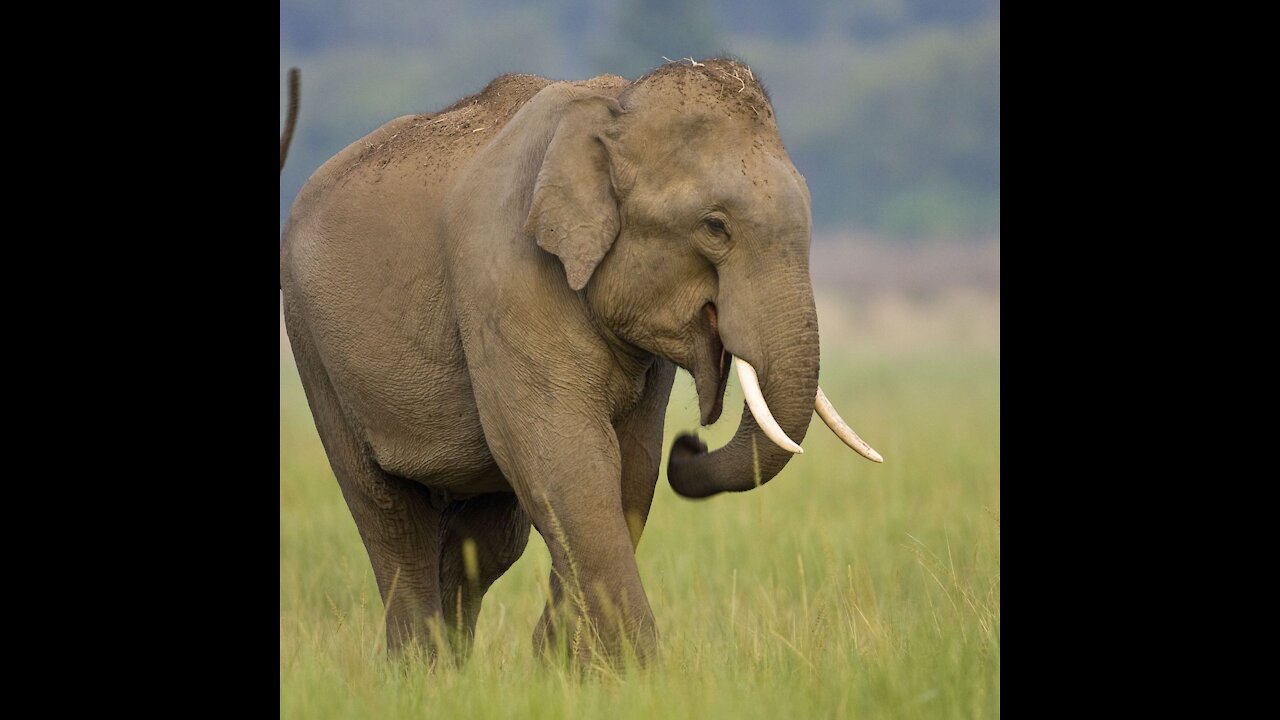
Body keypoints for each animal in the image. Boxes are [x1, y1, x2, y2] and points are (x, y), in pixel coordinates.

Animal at [279, 57, 880, 666]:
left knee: (487, 539)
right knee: (389, 517)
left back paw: (453, 671)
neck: (616, 109)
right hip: (312, 344)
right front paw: (636, 671)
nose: (689, 444)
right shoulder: (507, 280)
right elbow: (571, 466)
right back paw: (422, 671)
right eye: (715, 227)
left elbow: (630, 472)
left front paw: (562, 664)